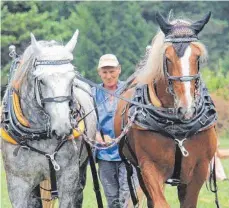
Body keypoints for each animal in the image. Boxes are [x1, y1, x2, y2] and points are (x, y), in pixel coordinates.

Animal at [0, 30, 96, 208]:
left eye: (72, 79)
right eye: (41, 80)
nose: (63, 126)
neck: (40, 135)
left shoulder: (69, 177)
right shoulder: (18, 184)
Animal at [115, 11, 217, 208]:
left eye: (197, 57)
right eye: (167, 58)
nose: (186, 108)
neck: (177, 127)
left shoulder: (199, 169)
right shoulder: (148, 166)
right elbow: (159, 202)